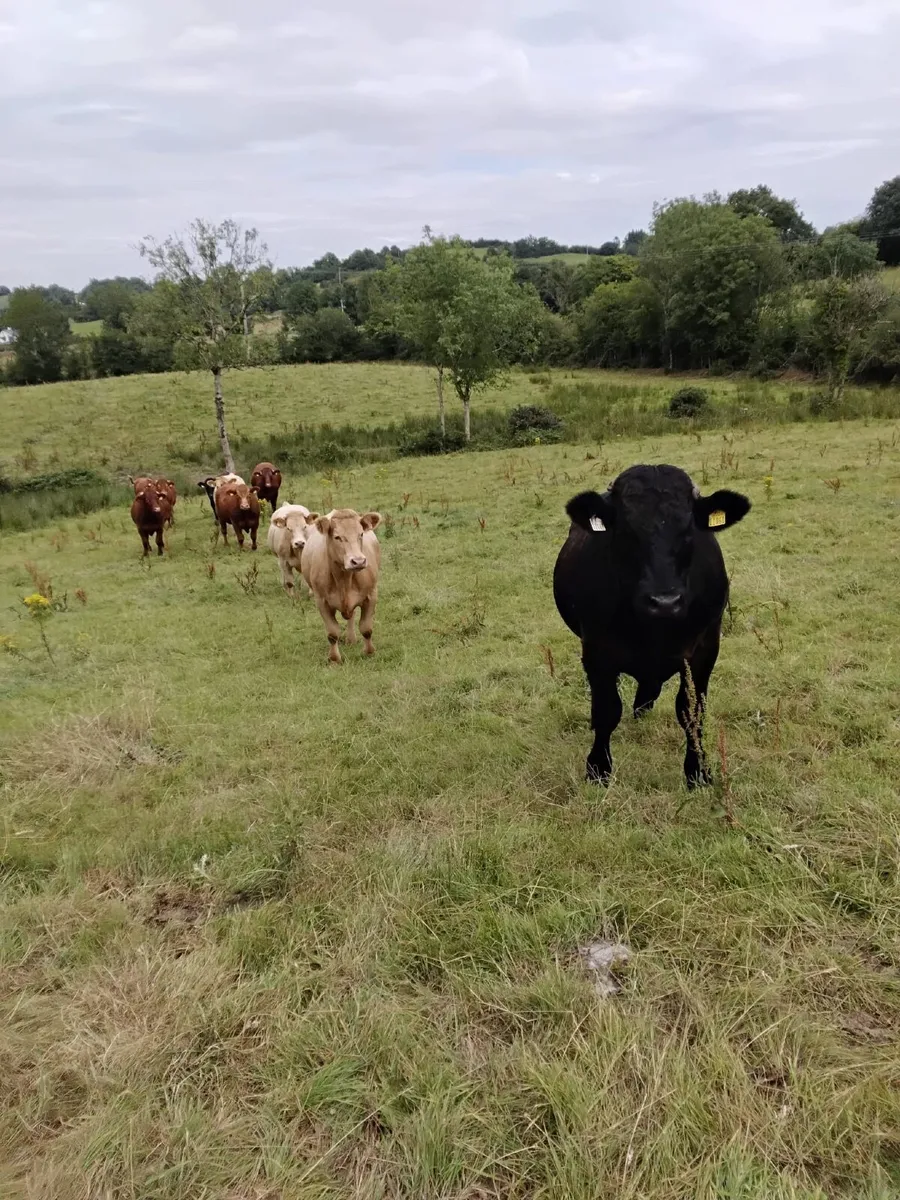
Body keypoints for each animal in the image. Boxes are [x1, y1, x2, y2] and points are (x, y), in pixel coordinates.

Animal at [300, 508, 382, 664]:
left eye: (361, 534)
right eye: (337, 537)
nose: (358, 561)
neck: (344, 579)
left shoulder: (371, 595)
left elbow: (366, 628)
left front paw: (369, 652)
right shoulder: (321, 601)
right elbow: (332, 633)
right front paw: (334, 659)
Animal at [553, 464, 751, 787]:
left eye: (689, 530)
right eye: (626, 532)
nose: (664, 601)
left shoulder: (705, 649)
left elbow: (692, 710)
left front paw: (697, 771)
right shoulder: (596, 650)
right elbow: (606, 710)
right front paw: (598, 769)